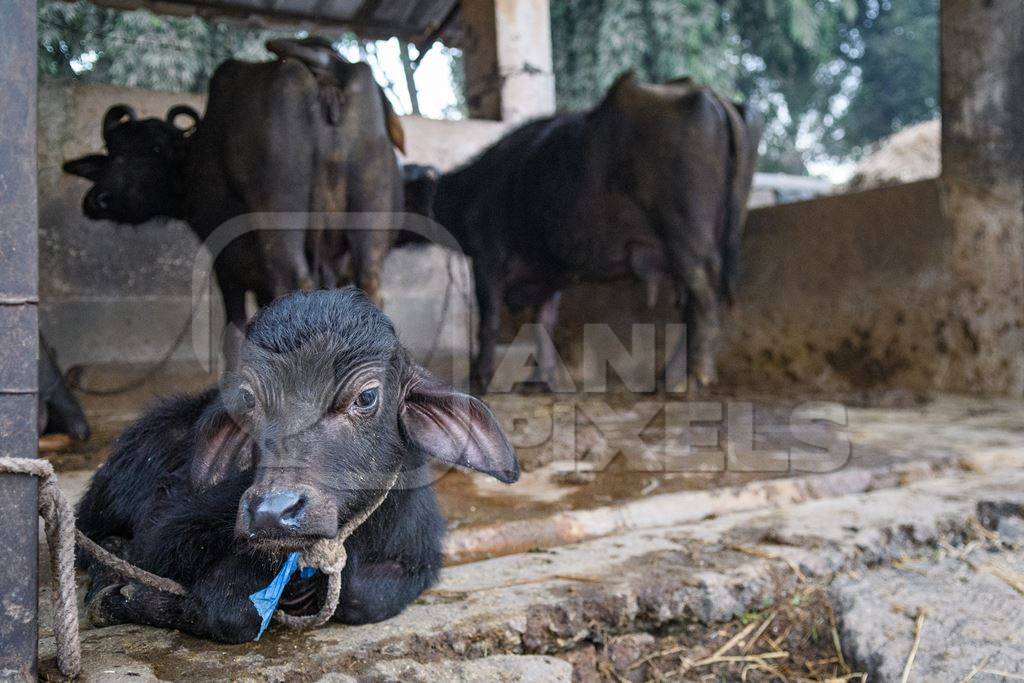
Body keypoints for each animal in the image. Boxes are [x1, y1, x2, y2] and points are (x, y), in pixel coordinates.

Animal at [62, 37, 407, 368]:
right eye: (112, 152)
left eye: (155, 150)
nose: (98, 199)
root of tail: (322, 72)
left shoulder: (226, 264)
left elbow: (235, 336)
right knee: (371, 289)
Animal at [75, 288, 516, 643]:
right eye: (248, 398)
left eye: (366, 397)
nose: (273, 511)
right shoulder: (167, 533)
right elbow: (233, 608)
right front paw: (124, 594)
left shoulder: (419, 557)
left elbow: (360, 596)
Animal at [430, 73, 761, 389]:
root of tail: (709, 94)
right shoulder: (547, 272)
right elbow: (542, 322)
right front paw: (543, 378)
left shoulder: (487, 256)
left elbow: (490, 321)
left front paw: (481, 376)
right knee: (692, 308)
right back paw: (671, 376)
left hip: (688, 240)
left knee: (704, 299)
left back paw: (694, 377)